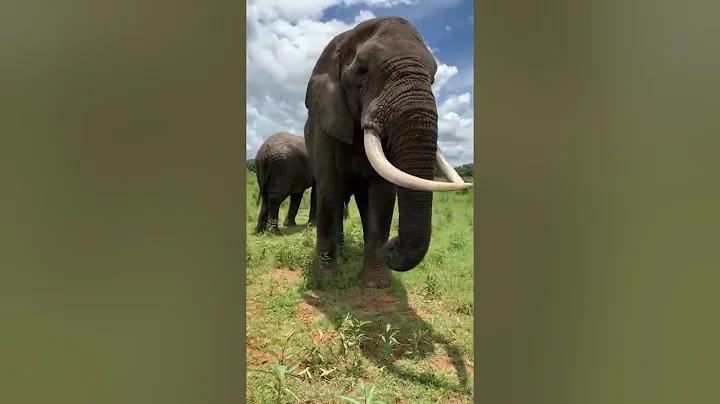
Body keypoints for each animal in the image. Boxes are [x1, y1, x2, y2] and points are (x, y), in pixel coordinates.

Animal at [303, 16, 472, 288]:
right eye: (361, 71)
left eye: (434, 79)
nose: (392, 245)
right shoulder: (325, 124)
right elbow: (329, 188)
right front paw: (328, 280)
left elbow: (381, 195)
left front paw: (377, 283)